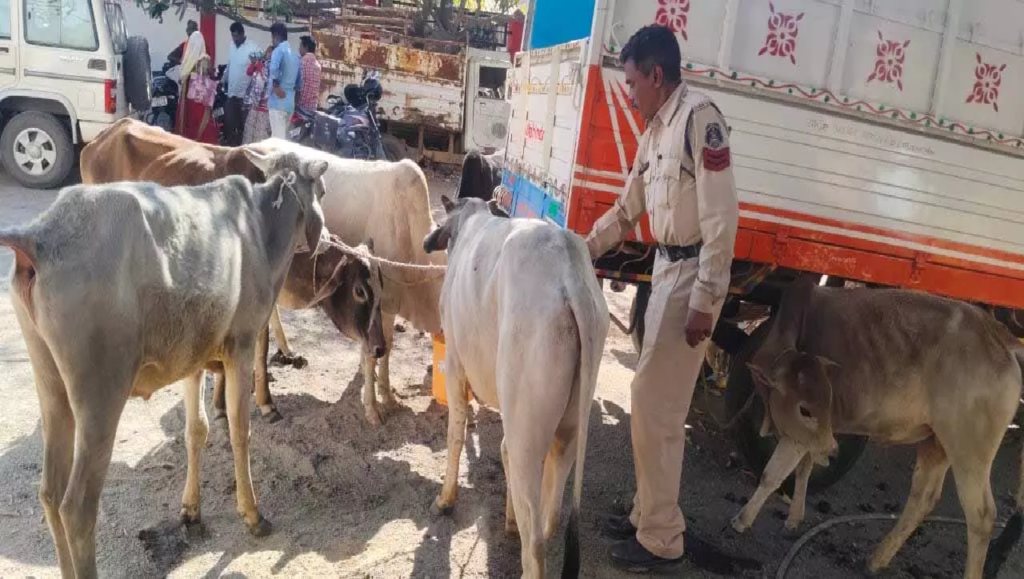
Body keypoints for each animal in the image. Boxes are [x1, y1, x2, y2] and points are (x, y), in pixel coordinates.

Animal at [0, 149, 330, 578]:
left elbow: (196, 430)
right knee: (77, 507)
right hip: (100, 390)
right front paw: (252, 514)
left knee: (50, 493)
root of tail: (36, 238)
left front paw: (191, 509)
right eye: (322, 189)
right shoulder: (240, 347)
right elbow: (239, 430)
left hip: (49, 382)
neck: (262, 228)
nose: (326, 238)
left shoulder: (193, 356)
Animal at [248, 139, 447, 426]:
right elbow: (378, 350)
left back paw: (286, 351)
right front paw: (376, 405)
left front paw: (381, 391)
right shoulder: (382, 303)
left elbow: (381, 349)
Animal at [422, 195, 609, 579]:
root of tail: (568, 269)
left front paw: (445, 500)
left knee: (534, 537)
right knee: (550, 511)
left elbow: (456, 434)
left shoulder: (456, 362)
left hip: (525, 416)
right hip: (569, 421)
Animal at [732, 277, 1024, 579]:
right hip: (937, 443)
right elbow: (804, 469)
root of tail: (1000, 337)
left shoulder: (802, 436)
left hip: (970, 450)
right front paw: (793, 520)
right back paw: (877, 559)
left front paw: (743, 519)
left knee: (982, 516)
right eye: (806, 409)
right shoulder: (814, 437)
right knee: (923, 498)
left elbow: (773, 474)